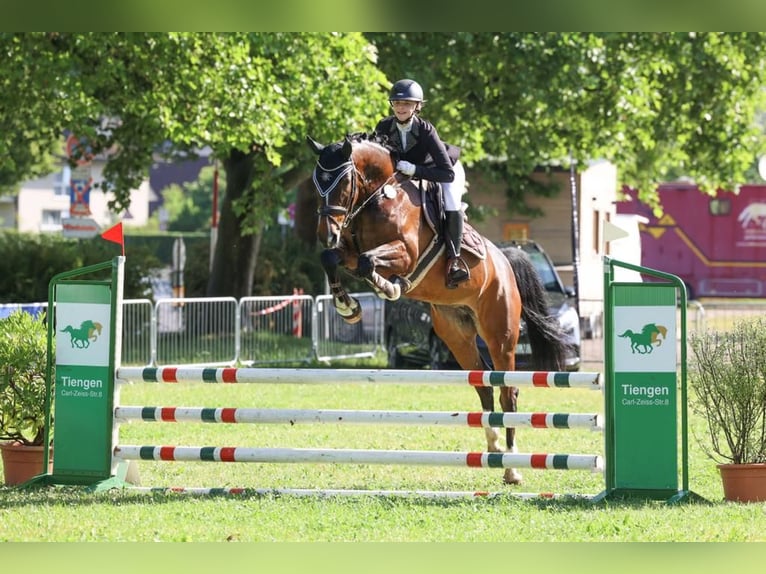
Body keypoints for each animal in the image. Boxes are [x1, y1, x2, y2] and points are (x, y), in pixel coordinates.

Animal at [306, 132, 568, 486]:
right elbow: (333, 258)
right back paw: (494, 447)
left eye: (343, 182)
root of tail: (505, 261)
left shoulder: (406, 252)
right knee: (484, 387)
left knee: (508, 392)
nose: (326, 233)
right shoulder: (346, 250)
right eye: (316, 182)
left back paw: (513, 467)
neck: (378, 197)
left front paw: (390, 287)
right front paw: (348, 306)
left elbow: (368, 262)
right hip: (457, 337)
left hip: (500, 335)